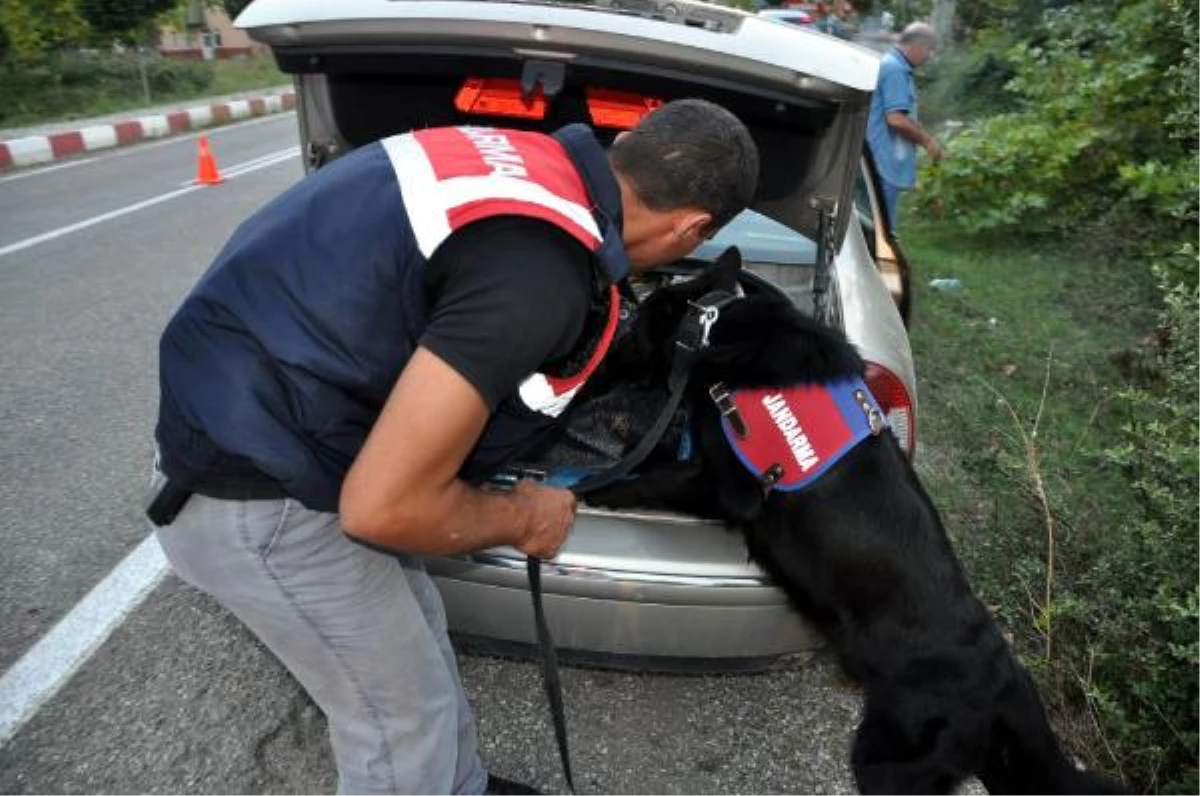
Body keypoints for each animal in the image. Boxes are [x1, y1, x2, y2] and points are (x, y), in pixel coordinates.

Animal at [576, 250, 1128, 796]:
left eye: (631, 328)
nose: (593, 369)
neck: (717, 325)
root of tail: (1003, 679)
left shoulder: (727, 487)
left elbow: (647, 479)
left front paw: (589, 488)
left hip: (885, 763)